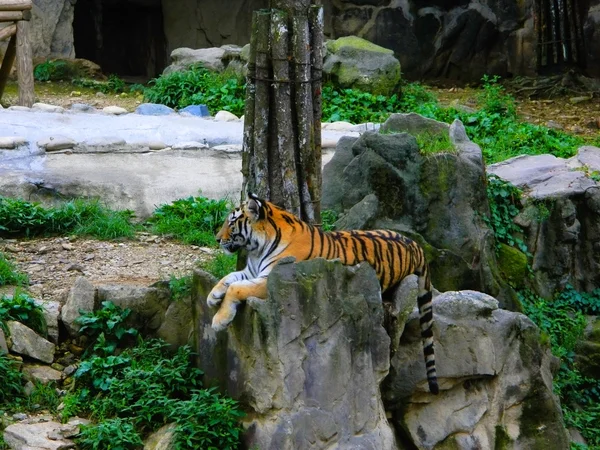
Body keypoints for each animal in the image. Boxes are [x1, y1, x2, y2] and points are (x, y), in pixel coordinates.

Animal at [209, 192, 438, 394]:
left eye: (231, 222)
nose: (217, 239)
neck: (258, 249)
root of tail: (416, 245)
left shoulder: (270, 280)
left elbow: (236, 287)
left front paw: (219, 320)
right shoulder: (251, 271)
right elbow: (228, 278)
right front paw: (212, 297)